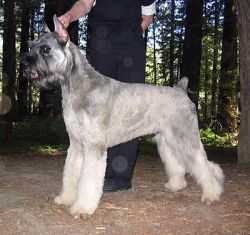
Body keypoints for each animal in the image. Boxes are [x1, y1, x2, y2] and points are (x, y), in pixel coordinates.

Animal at [23, 16, 223, 218]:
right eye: (31, 45)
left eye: (46, 49)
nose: (25, 64)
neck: (75, 86)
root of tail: (181, 90)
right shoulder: (77, 145)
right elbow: (71, 173)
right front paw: (66, 198)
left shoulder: (94, 147)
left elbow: (88, 181)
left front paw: (82, 208)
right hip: (167, 140)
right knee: (177, 162)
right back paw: (176, 184)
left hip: (185, 138)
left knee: (203, 164)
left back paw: (212, 193)